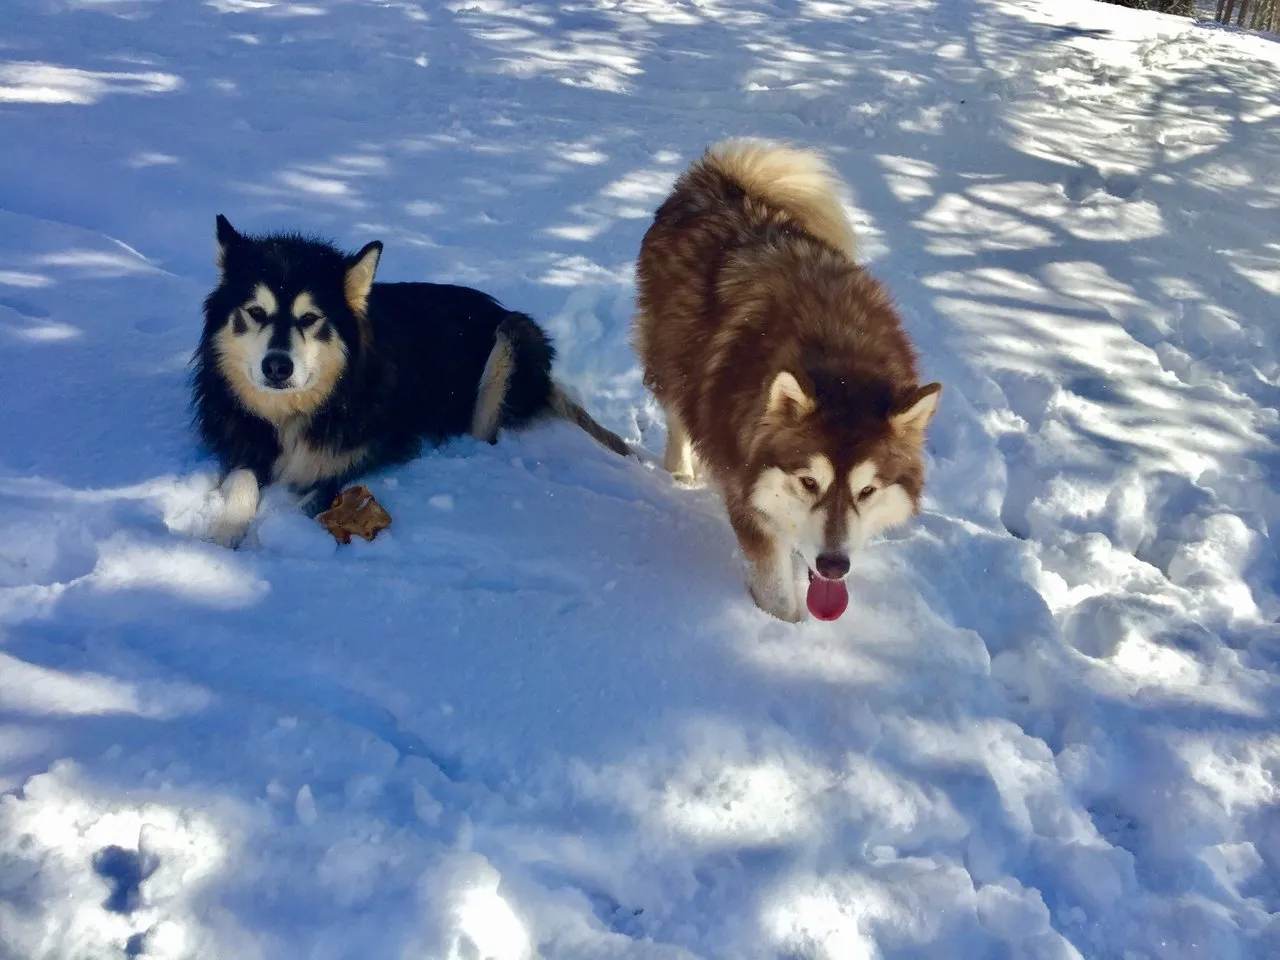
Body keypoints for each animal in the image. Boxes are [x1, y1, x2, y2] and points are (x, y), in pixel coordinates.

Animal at [192, 218, 627, 547]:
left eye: (310, 318)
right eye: (255, 312)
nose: (277, 367)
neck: (308, 406)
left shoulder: (364, 454)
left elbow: (312, 498)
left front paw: (268, 535)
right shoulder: (246, 445)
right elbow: (241, 482)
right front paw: (223, 532)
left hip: (512, 335)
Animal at [632, 140, 942, 624]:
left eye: (867, 491)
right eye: (809, 482)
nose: (834, 565)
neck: (840, 357)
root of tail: (724, 177)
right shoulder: (748, 497)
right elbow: (779, 595)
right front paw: (785, 632)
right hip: (669, 352)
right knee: (678, 408)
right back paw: (682, 470)